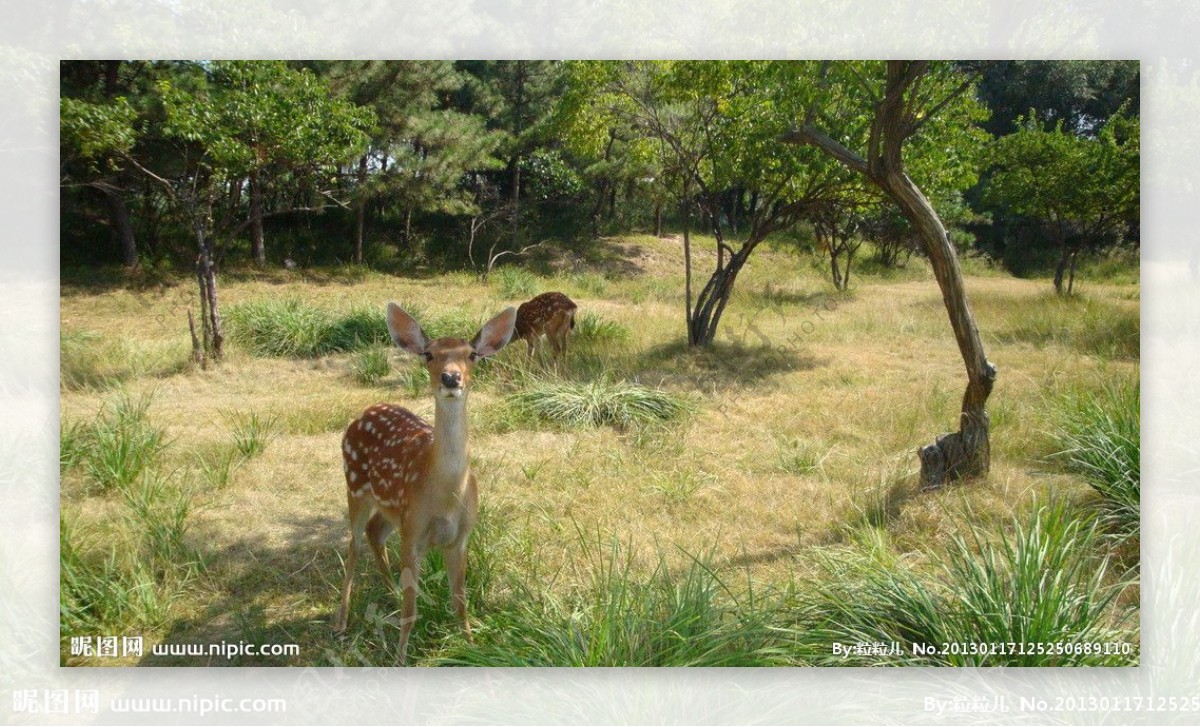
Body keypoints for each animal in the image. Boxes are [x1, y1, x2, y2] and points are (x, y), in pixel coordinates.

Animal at [333, 302, 516, 667]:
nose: (451, 377)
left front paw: (471, 645)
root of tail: (364, 412)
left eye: (472, 354)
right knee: (354, 544)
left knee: (375, 533)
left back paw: (388, 593)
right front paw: (400, 658)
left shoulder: (459, 537)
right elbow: (411, 609)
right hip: (355, 485)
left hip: (392, 510)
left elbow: (460, 602)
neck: (445, 494)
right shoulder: (413, 534)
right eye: (429, 354)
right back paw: (342, 621)